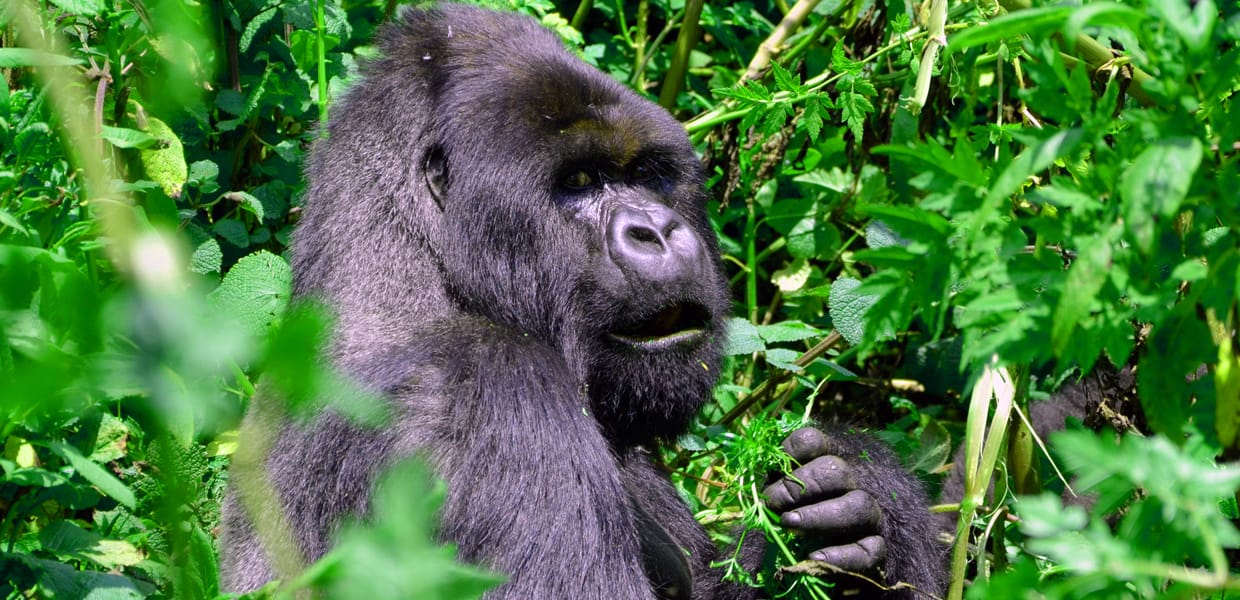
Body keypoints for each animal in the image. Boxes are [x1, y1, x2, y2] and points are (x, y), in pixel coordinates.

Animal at [218, 4, 942, 600]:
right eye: (580, 181)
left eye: (646, 175)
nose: (657, 230)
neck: (420, 274)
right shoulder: (489, 394)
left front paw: (863, 495)